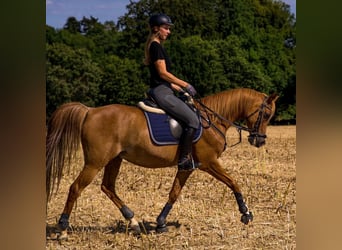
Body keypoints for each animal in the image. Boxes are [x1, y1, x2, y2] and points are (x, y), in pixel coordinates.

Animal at [46, 88, 278, 238]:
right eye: (266, 114)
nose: (259, 141)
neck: (211, 121)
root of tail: (90, 111)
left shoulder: (188, 167)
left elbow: (174, 193)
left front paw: (161, 223)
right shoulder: (209, 163)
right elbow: (233, 182)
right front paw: (246, 213)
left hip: (114, 159)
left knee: (108, 187)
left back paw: (134, 222)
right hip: (95, 162)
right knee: (76, 187)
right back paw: (63, 228)